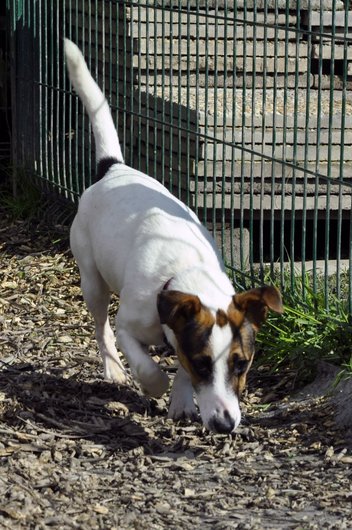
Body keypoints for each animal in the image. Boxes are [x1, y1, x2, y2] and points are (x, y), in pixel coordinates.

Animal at [64, 39, 284, 432]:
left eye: (241, 364)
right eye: (202, 363)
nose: (226, 424)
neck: (183, 275)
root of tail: (114, 168)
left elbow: (177, 369)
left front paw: (181, 401)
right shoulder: (129, 326)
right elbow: (147, 362)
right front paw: (155, 385)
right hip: (92, 278)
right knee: (102, 325)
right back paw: (113, 369)